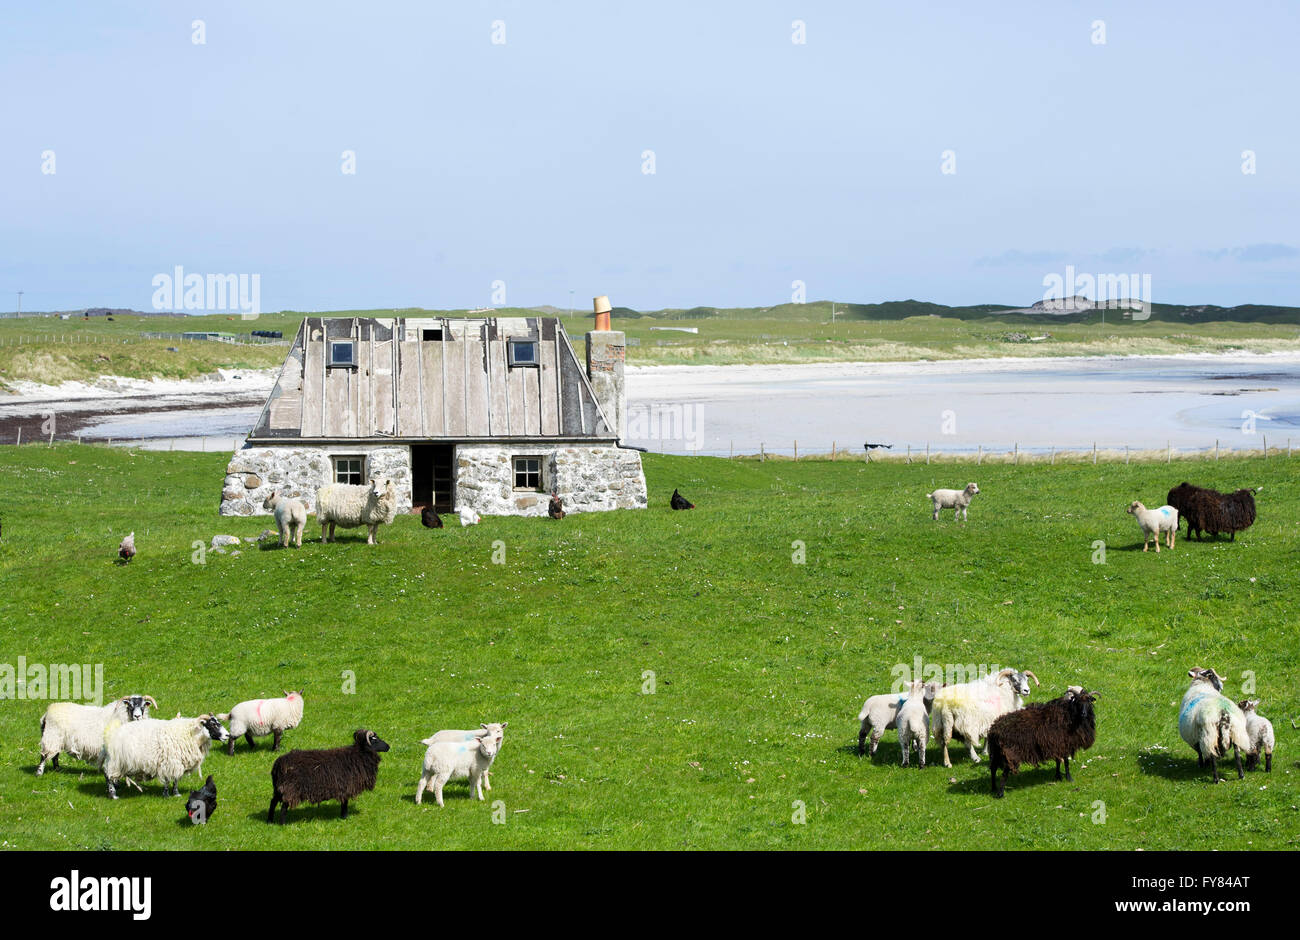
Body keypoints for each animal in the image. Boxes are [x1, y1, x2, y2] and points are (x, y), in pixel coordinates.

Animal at [101, 717, 231, 795]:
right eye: (213, 724)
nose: (227, 735)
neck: (191, 734)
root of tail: (111, 735)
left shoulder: (178, 762)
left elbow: (176, 779)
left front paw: (175, 793)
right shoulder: (170, 761)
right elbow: (169, 779)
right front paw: (168, 794)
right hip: (115, 761)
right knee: (107, 775)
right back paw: (113, 794)